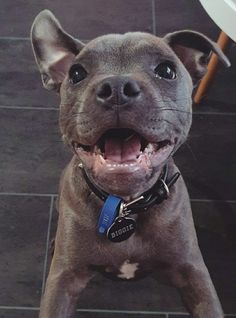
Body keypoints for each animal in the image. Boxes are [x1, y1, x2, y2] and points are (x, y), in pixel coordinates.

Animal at [30, 9, 230, 318]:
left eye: (167, 70)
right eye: (76, 73)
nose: (116, 88)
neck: (125, 204)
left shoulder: (193, 272)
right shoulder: (64, 279)